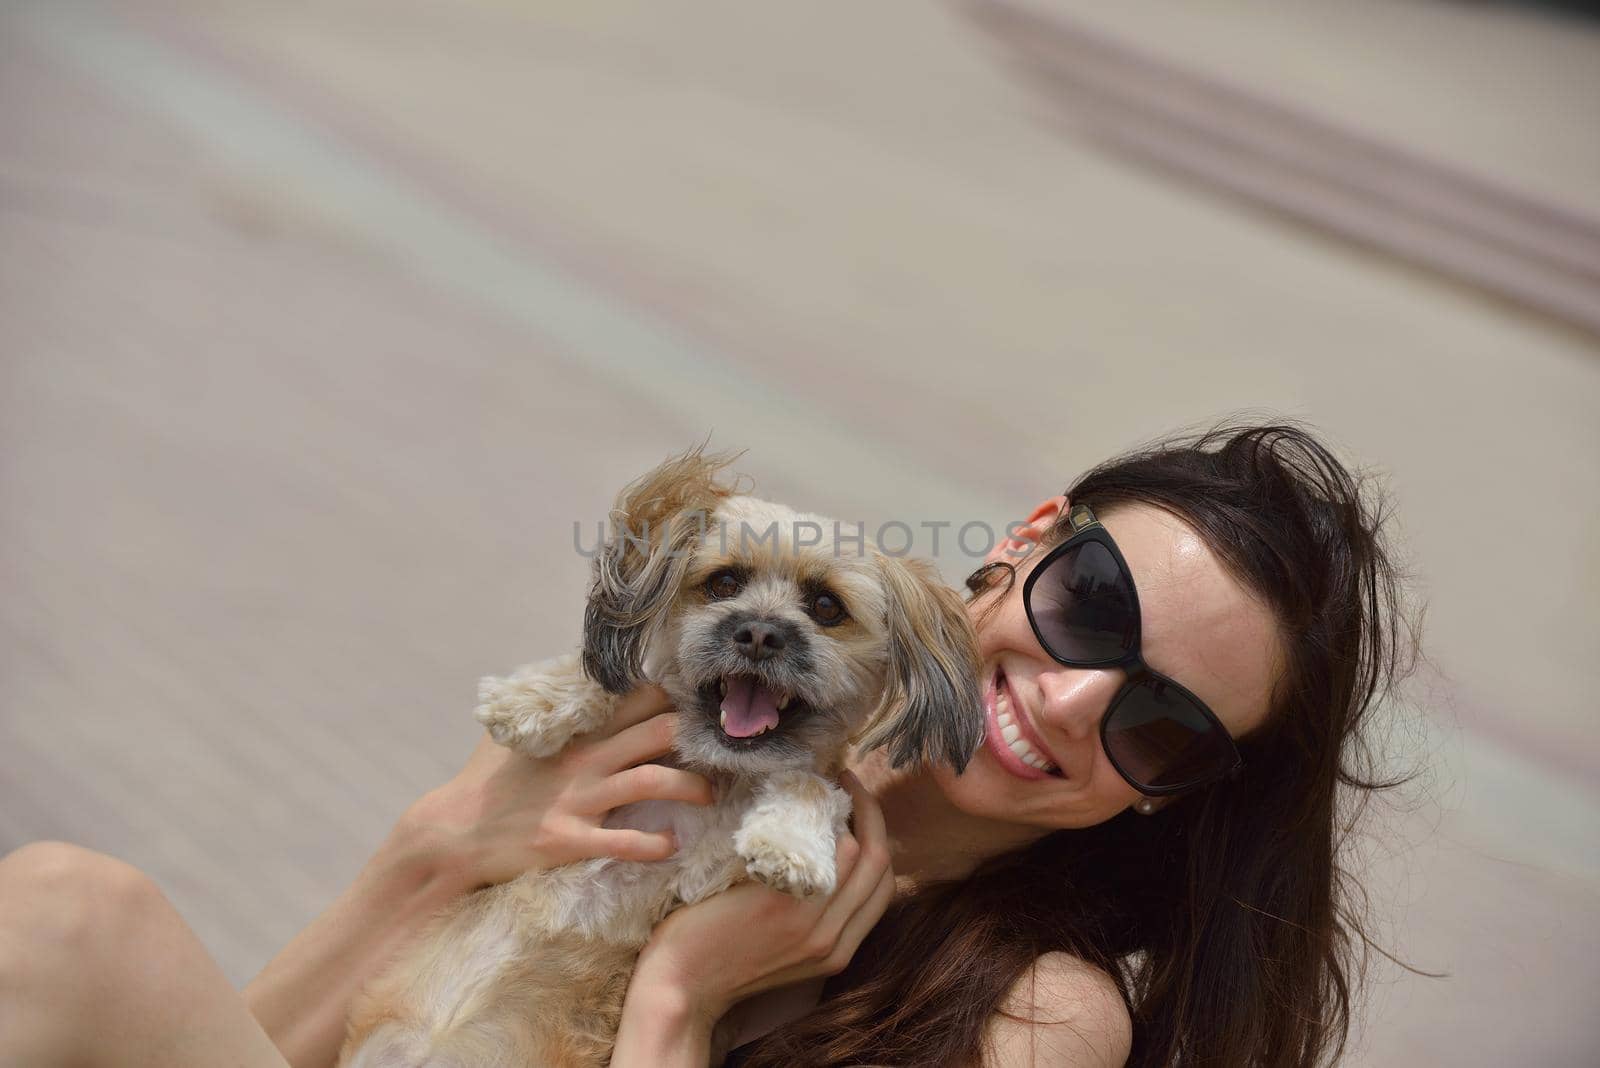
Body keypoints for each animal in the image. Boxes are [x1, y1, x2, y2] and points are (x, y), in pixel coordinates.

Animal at [340, 450, 972, 1068]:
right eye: (723, 582)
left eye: (826, 606)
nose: (759, 634)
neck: (717, 772)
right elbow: (623, 684)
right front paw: (530, 699)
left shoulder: (704, 877)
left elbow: (813, 786)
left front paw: (788, 843)